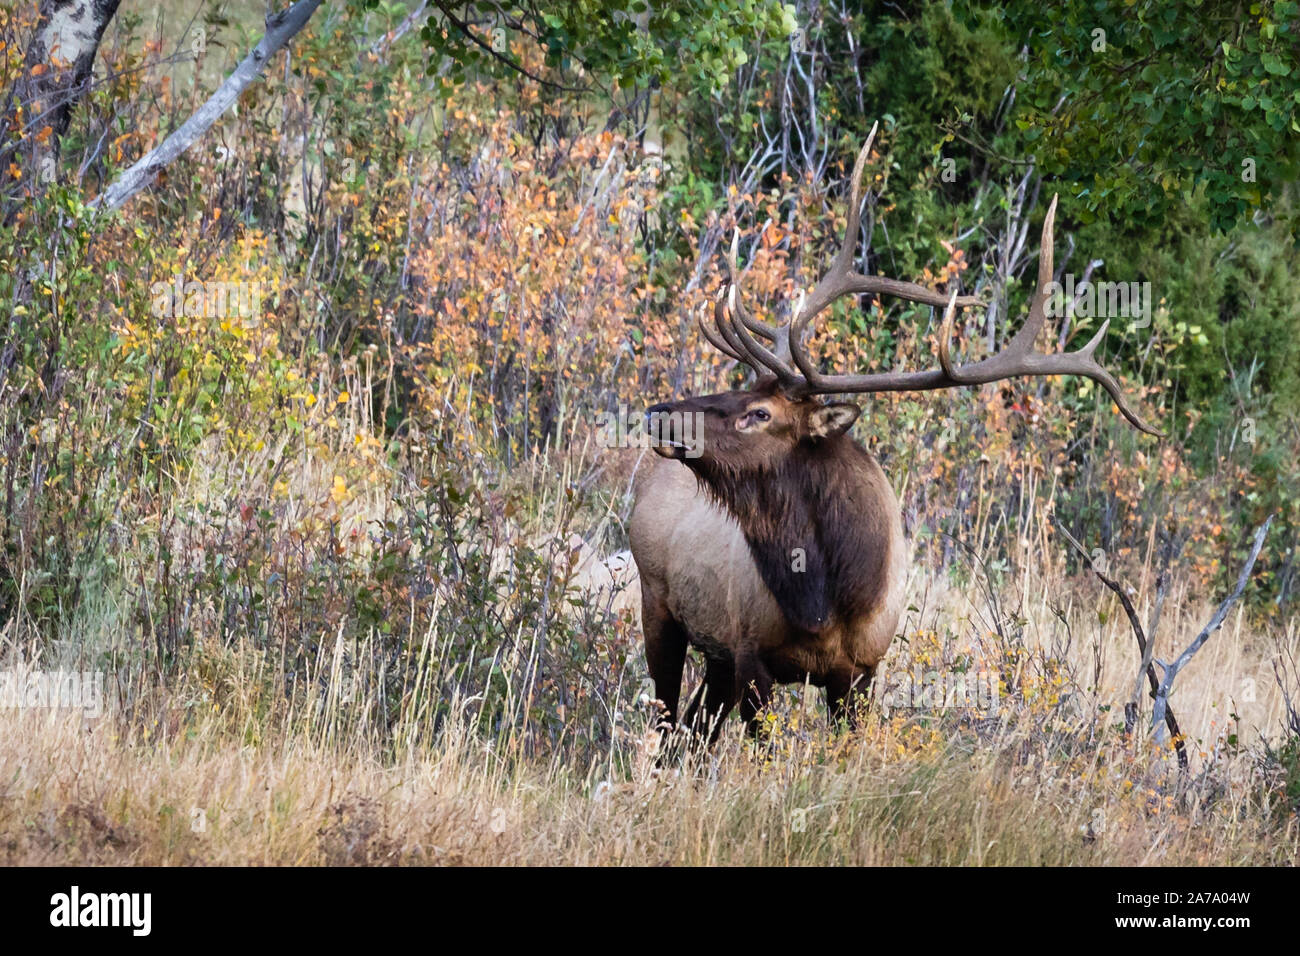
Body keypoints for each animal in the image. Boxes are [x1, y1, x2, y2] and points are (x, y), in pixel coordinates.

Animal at [629, 123, 1159, 749]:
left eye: (758, 412)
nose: (659, 413)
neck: (830, 598)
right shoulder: (751, 651)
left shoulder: (859, 670)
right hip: (659, 603)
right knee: (669, 722)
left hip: (711, 654)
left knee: (689, 729)